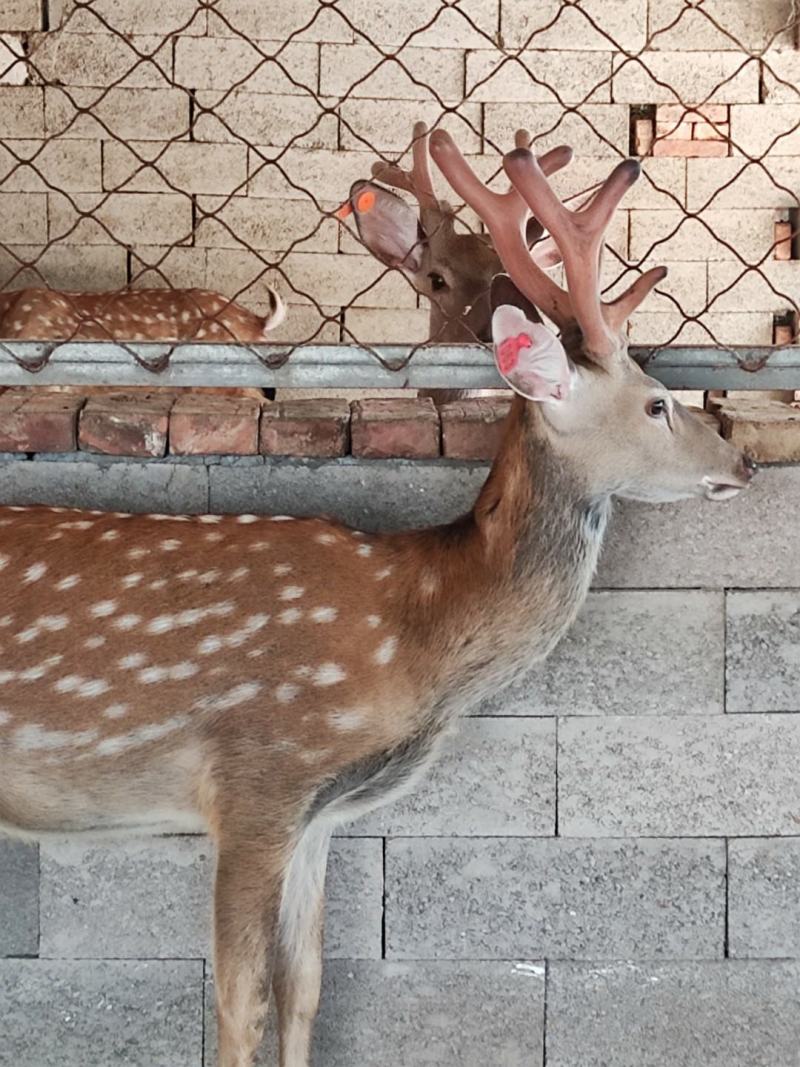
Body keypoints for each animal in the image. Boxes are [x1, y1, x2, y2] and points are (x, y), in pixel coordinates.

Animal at [0, 131, 759, 1067]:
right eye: (656, 403)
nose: (744, 461)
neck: (413, 627)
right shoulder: (257, 777)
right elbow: (241, 1003)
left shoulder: (320, 817)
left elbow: (305, 990)